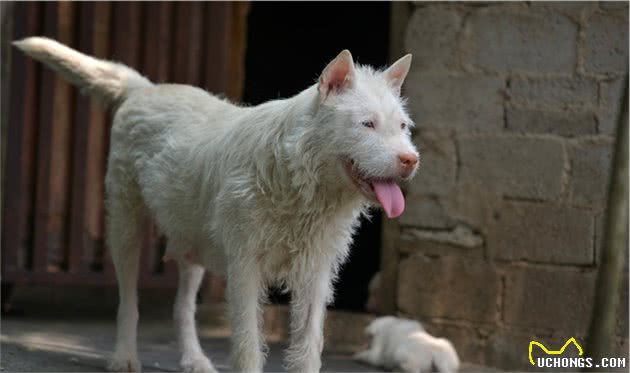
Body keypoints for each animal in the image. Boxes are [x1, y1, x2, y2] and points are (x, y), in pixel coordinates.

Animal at [13, 35, 420, 372]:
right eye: (367, 124)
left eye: (402, 127)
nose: (410, 160)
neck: (301, 180)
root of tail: (147, 90)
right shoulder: (245, 269)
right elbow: (247, 344)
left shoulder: (314, 275)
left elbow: (307, 347)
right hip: (125, 230)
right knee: (128, 302)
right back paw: (124, 357)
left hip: (192, 247)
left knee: (182, 307)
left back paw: (194, 359)